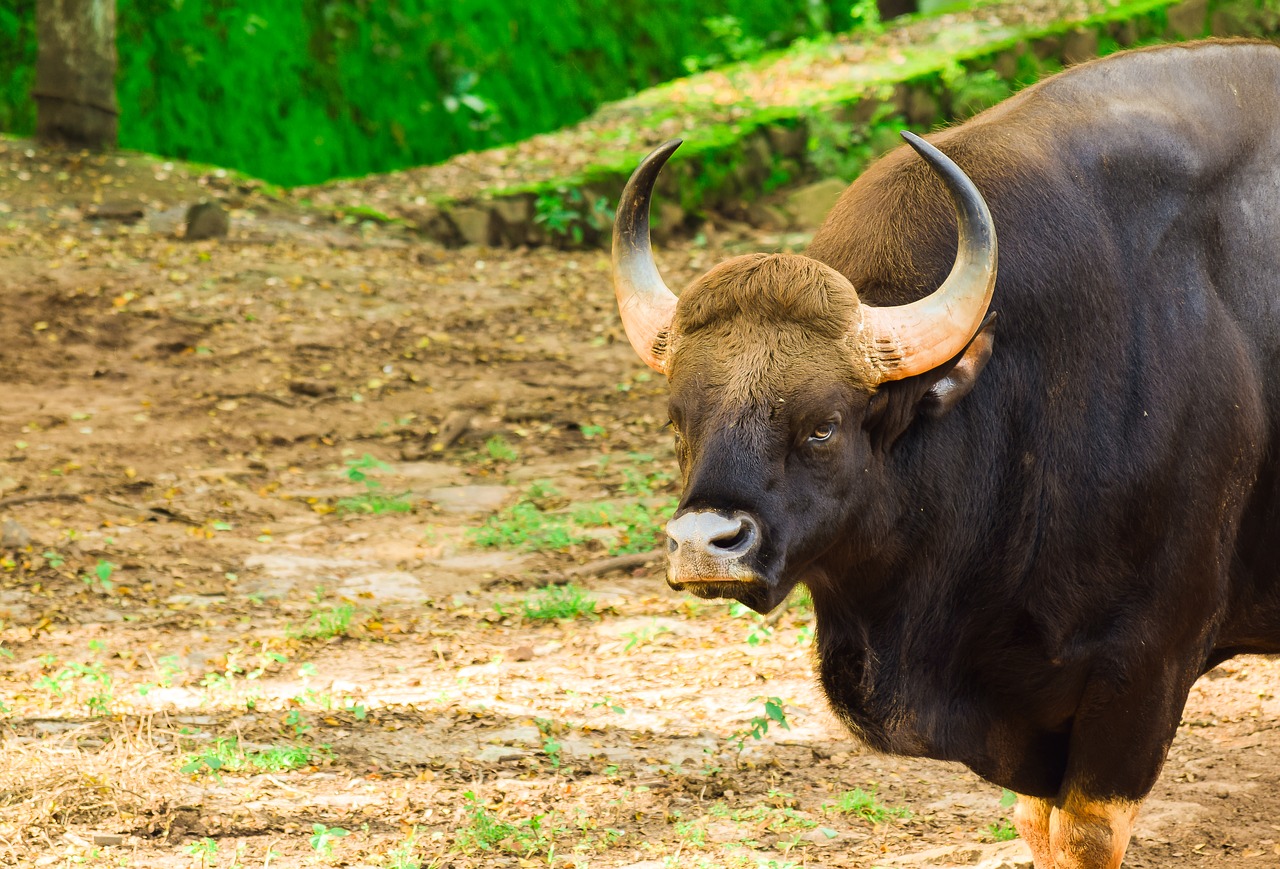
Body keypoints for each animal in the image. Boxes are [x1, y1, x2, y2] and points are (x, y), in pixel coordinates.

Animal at [606, 39, 1280, 869]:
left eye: (824, 425)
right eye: (677, 419)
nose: (706, 544)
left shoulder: (1145, 665)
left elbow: (1086, 835)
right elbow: (1036, 825)